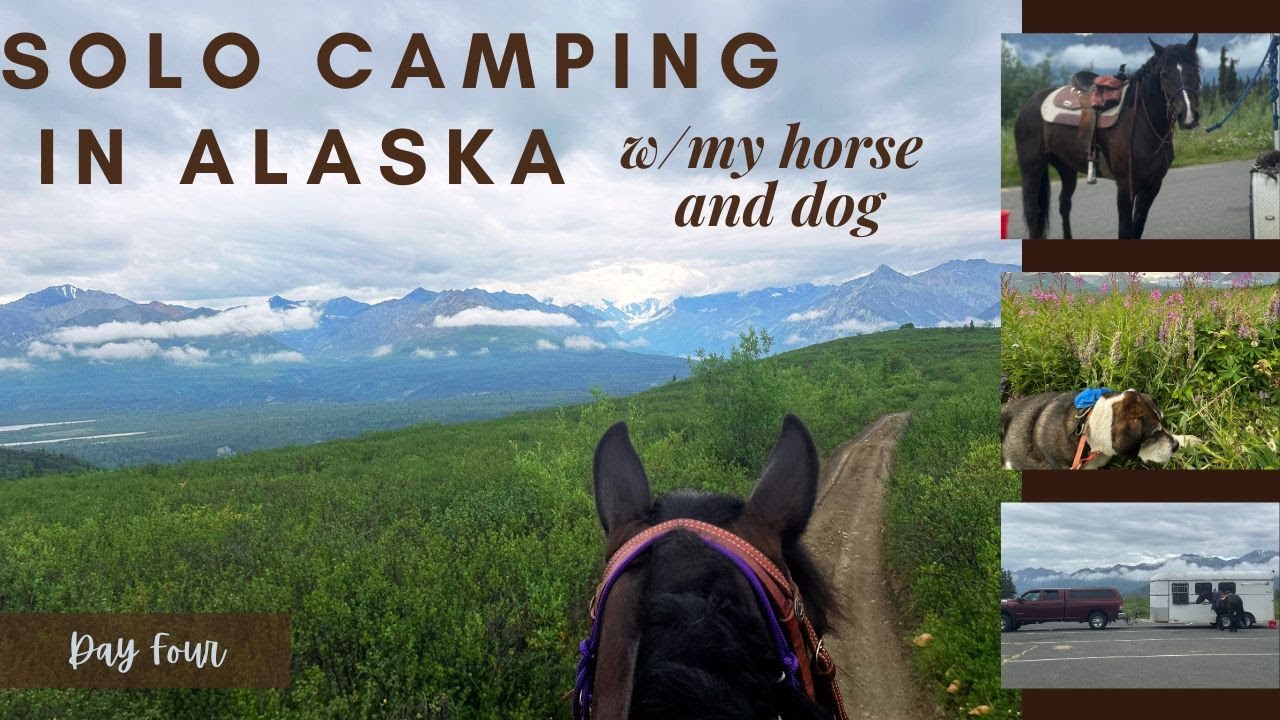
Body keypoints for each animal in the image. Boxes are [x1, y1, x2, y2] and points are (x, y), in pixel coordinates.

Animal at [1014, 34, 1201, 239]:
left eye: (1196, 71)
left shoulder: (1152, 186)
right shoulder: (1125, 186)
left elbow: (1138, 226)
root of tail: (1029, 104)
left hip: (1067, 168)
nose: (1188, 116)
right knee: (1033, 213)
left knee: (1064, 204)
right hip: (1032, 169)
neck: (1143, 123)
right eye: (1165, 74)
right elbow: (1125, 230)